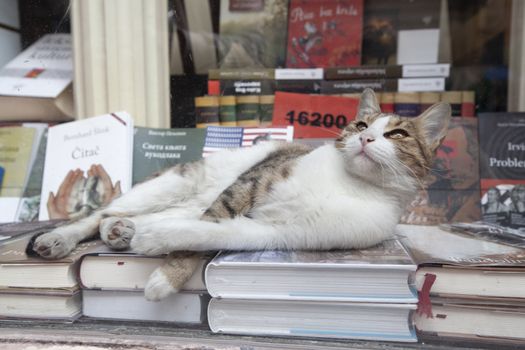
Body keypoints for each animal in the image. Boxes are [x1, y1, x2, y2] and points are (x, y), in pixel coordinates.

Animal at [31, 89, 450, 300]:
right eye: (361, 125)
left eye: (397, 134)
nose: (365, 138)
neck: (351, 183)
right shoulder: (252, 183)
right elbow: (214, 217)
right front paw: (166, 273)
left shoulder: (279, 233)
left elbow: (208, 233)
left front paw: (163, 258)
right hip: (173, 182)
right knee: (95, 216)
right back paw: (62, 237)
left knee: (147, 217)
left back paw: (125, 231)